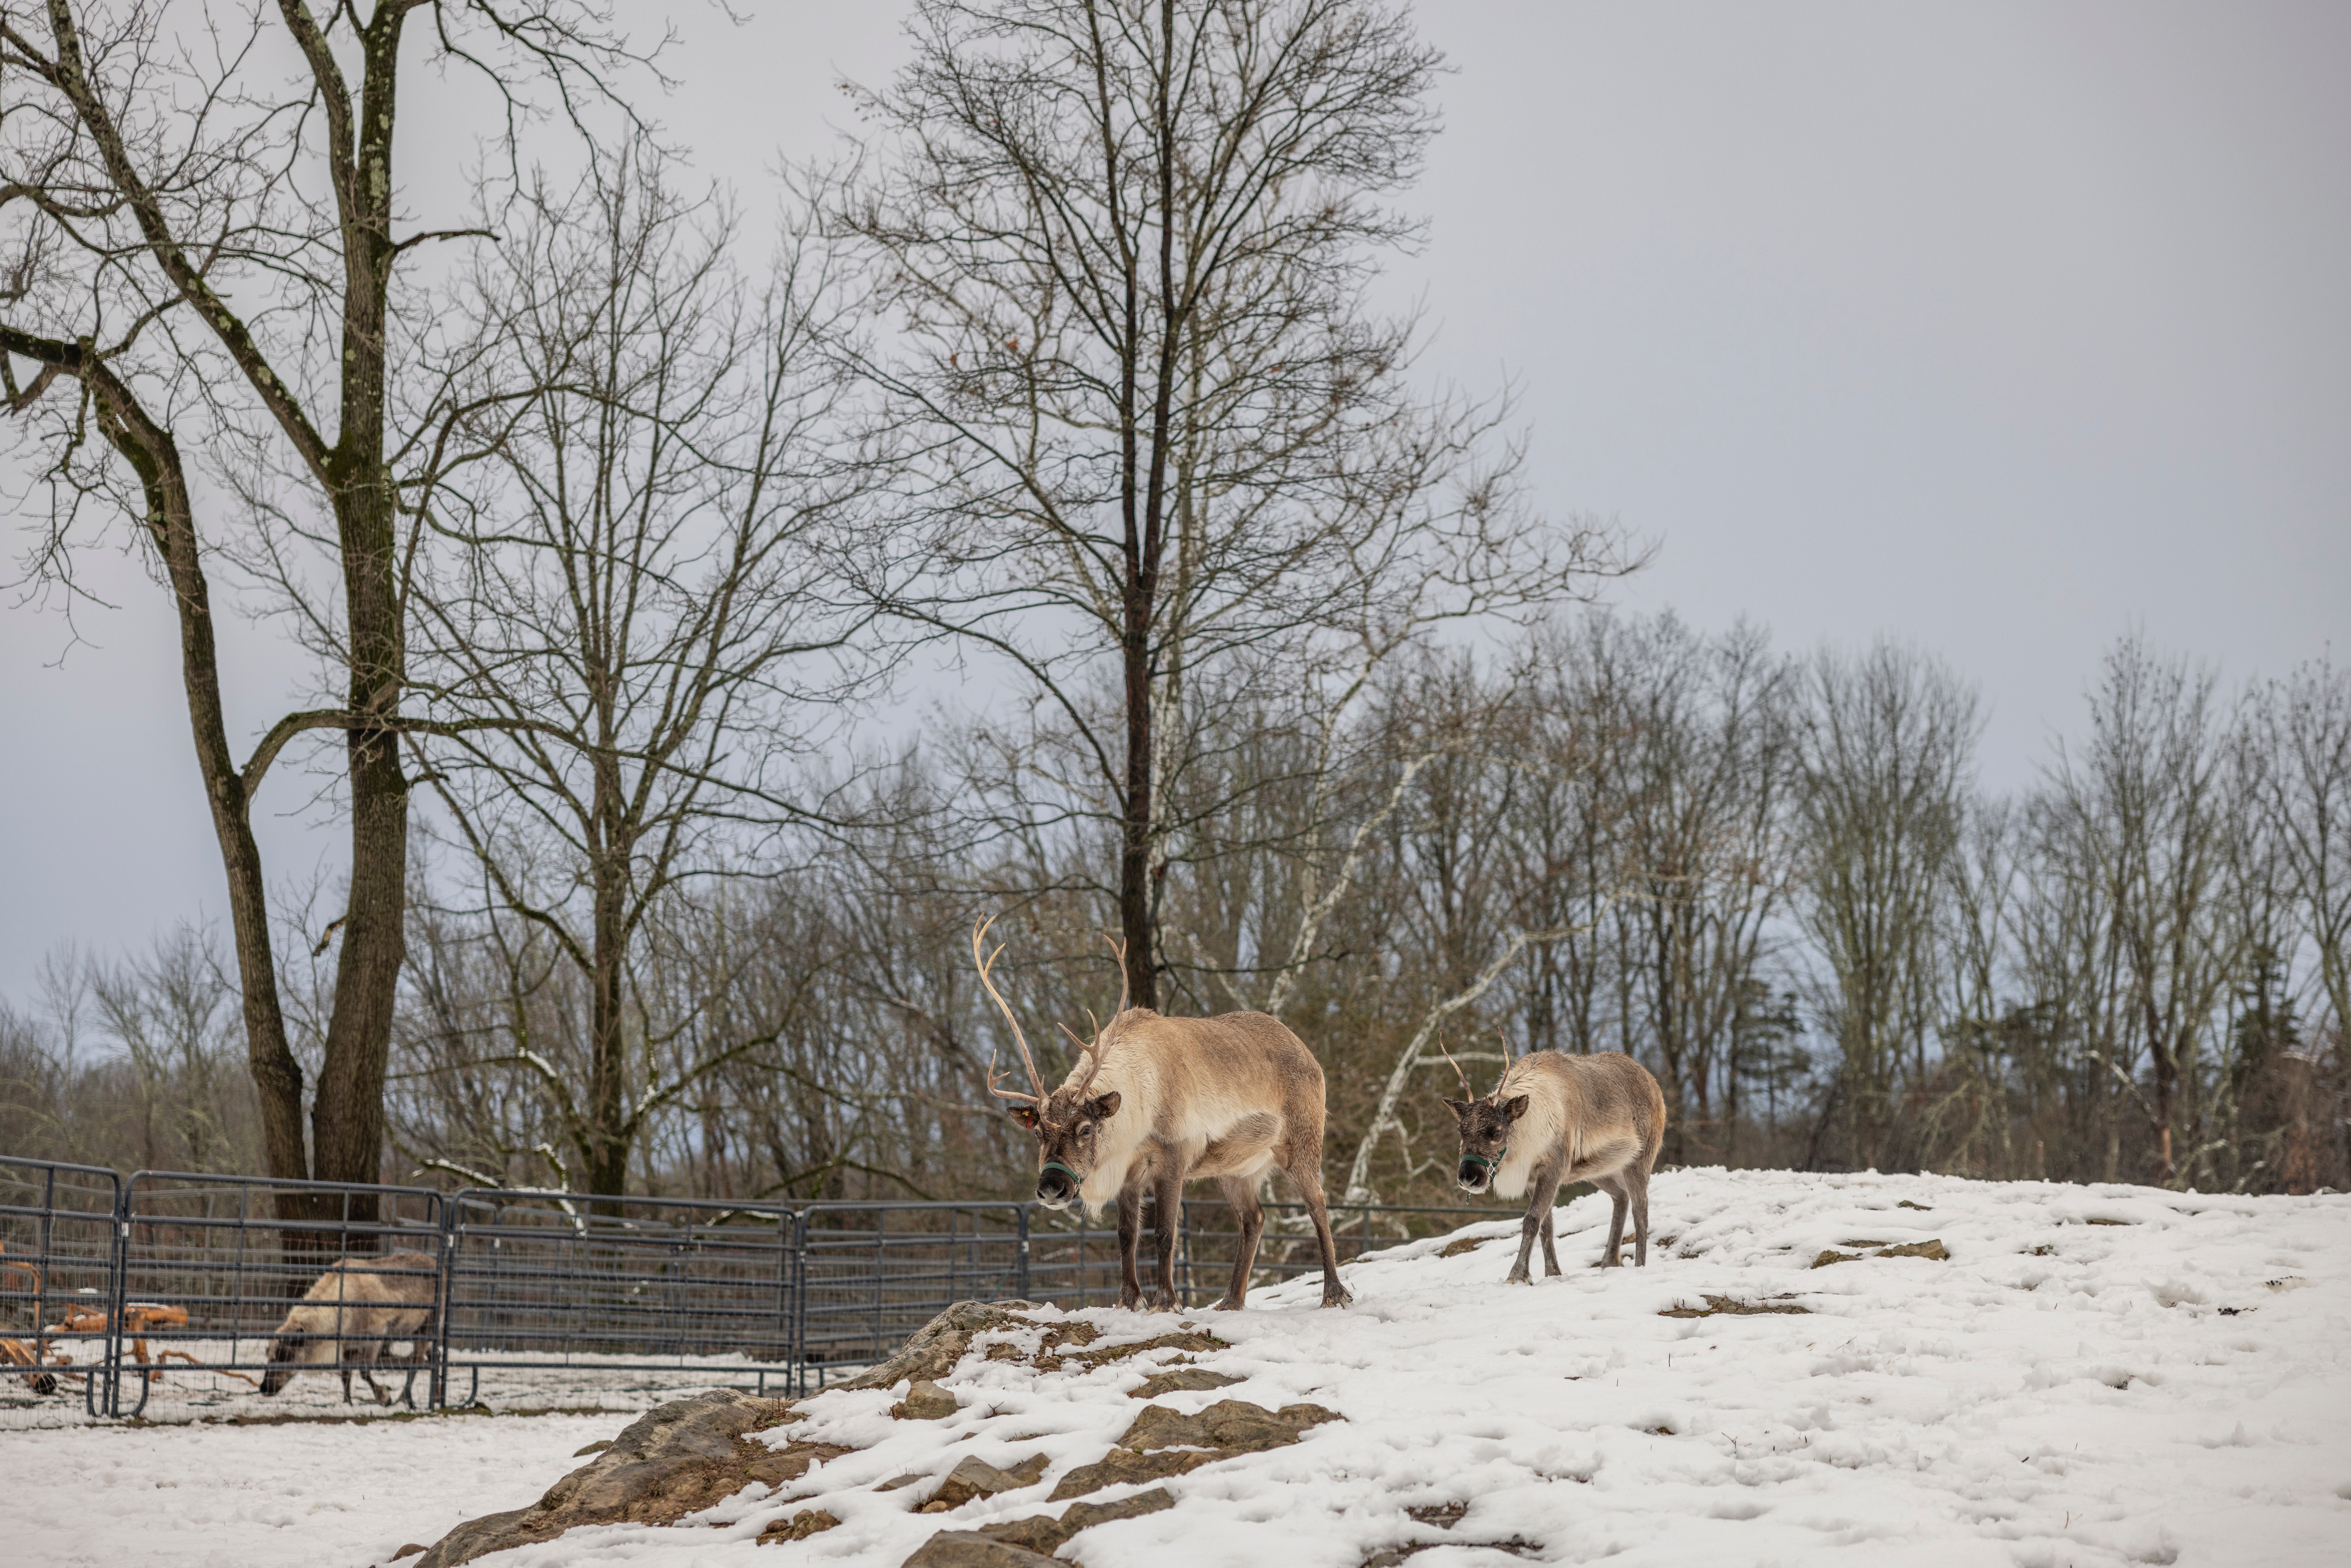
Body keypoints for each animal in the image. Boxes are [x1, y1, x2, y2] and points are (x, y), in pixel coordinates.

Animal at [973, 917, 1353, 1311]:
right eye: (1037, 1133)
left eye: (1085, 1129)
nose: (1051, 1187)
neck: (1140, 1110)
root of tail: (1309, 1054)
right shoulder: (1129, 1172)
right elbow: (1126, 1234)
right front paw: (1129, 1300)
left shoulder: (1173, 1158)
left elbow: (1165, 1233)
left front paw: (1166, 1301)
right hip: (1237, 1168)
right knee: (1254, 1218)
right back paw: (1230, 1301)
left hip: (1302, 1142)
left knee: (1319, 1205)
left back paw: (1333, 1293)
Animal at [1442, 1036, 1667, 1284]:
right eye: (1461, 1130)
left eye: (1497, 1132)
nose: (1468, 1177)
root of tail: (1653, 1083)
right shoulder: (1533, 1178)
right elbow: (1545, 1227)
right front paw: (1553, 1274)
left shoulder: (1552, 1169)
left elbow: (1532, 1220)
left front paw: (1518, 1275)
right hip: (1599, 1170)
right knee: (1621, 1197)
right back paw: (1610, 1262)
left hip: (1640, 1160)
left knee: (1641, 1209)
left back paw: (1639, 1265)